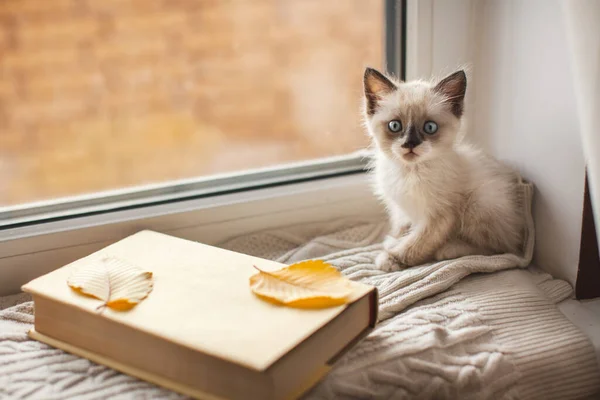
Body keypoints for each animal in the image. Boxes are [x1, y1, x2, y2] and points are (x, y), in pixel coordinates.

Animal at [360, 69, 524, 272]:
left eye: (430, 127)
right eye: (395, 126)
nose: (410, 144)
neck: (410, 172)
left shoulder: (440, 215)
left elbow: (417, 243)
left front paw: (393, 258)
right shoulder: (400, 207)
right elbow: (402, 227)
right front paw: (395, 240)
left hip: (481, 201)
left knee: (499, 248)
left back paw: (451, 248)